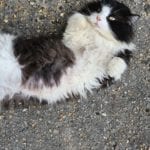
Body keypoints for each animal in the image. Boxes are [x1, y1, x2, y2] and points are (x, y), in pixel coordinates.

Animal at [0, 0, 139, 103]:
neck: (98, 37)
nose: (98, 18)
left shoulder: (104, 76)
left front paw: (113, 68)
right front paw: (84, 18)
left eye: (112, 18)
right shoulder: (69, 42)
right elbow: (76, 18)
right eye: (98, 10)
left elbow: (120, 62)